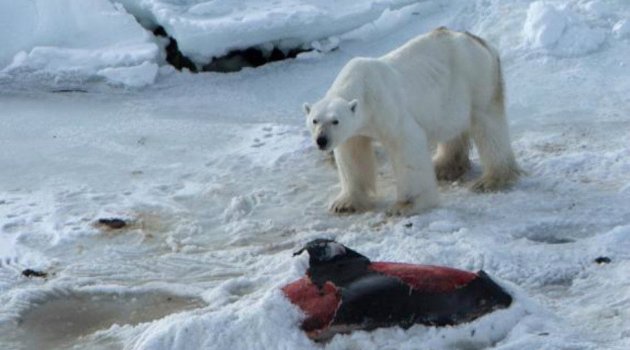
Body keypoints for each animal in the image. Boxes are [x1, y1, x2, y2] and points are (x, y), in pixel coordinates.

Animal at [306, 27, 524, 215]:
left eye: (335, 121)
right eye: (315, 121)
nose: (322, 140)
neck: (361, 86)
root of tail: (479, 40)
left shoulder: (386, 107)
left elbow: (406, 144)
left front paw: (405, 205)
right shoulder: (355, 131)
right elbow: (351, 155)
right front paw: (343, 203)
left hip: (477, 80)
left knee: (489, 125)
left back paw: (491, 179)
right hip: (449, 97)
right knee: (452, 128)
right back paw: (444, 166)